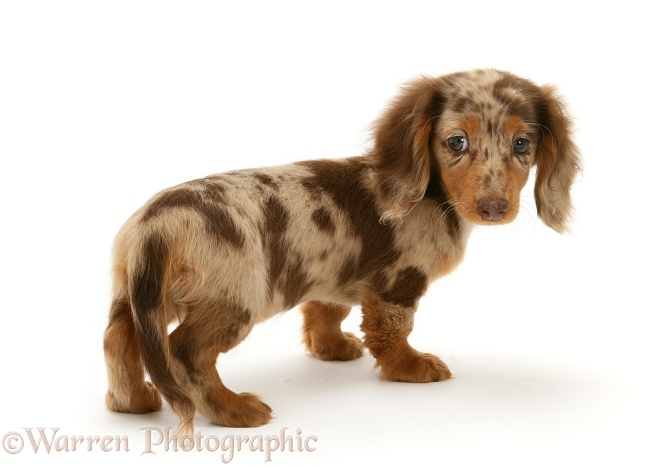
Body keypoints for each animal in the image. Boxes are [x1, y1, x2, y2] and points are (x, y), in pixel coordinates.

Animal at [104, 68, 584, 434]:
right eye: (456, 142)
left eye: (522, 145)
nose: (494, 208)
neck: (430, 195)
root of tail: (155, 226)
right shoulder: (397, 283)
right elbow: (393, 330)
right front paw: (410, 367)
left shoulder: (332, 275)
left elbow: (327, 311)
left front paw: (330, 348)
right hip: (232, 300)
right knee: (184, 350)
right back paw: (232, 409)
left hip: (140, 296)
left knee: (118, 339)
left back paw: (132, 401)